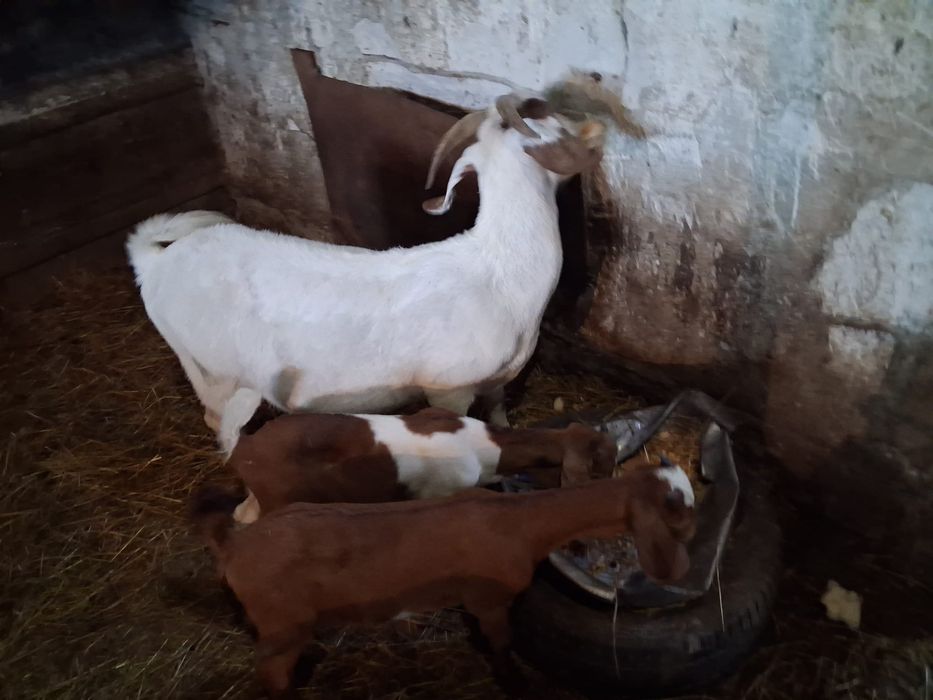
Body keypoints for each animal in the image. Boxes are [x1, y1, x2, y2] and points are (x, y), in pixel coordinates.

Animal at [126, 94, 604, 433]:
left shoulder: (497, 380)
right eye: (549, 129)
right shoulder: (447, 389)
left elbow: (501, 416)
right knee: (216, 418)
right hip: (210, 372)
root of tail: (154, 260)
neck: (500, 267)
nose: (595, 130)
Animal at [191, 462, 695, 697]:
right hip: (282, 621)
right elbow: (501, 643)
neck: (522, 524)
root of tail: (234, 545)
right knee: (271, 673)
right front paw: (514, 684)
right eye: (675, 505)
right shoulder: (491, 598)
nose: (693, 533)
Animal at [218, 388, 618, 523]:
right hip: (279, 497)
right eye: (599, 469)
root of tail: (246, 446)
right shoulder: (438, 493)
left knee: (242, 514)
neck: (487, 447)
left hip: (263, 493)